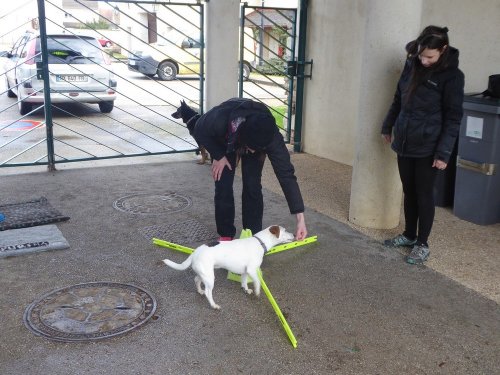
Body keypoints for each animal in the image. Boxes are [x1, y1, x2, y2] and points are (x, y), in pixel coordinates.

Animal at [162, 225, 294, 310]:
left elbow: (244, 282)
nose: (293, 234)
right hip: (210, 278)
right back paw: (214, 305)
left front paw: (246, 289)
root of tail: (195, 252)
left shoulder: (245, 271)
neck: (260, 242)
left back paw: (200, 291)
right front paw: (257, 291)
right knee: (208, 293)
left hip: (205, 274)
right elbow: (257, 281)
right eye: (285, 230)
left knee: (196, 280)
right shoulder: (251, 270)